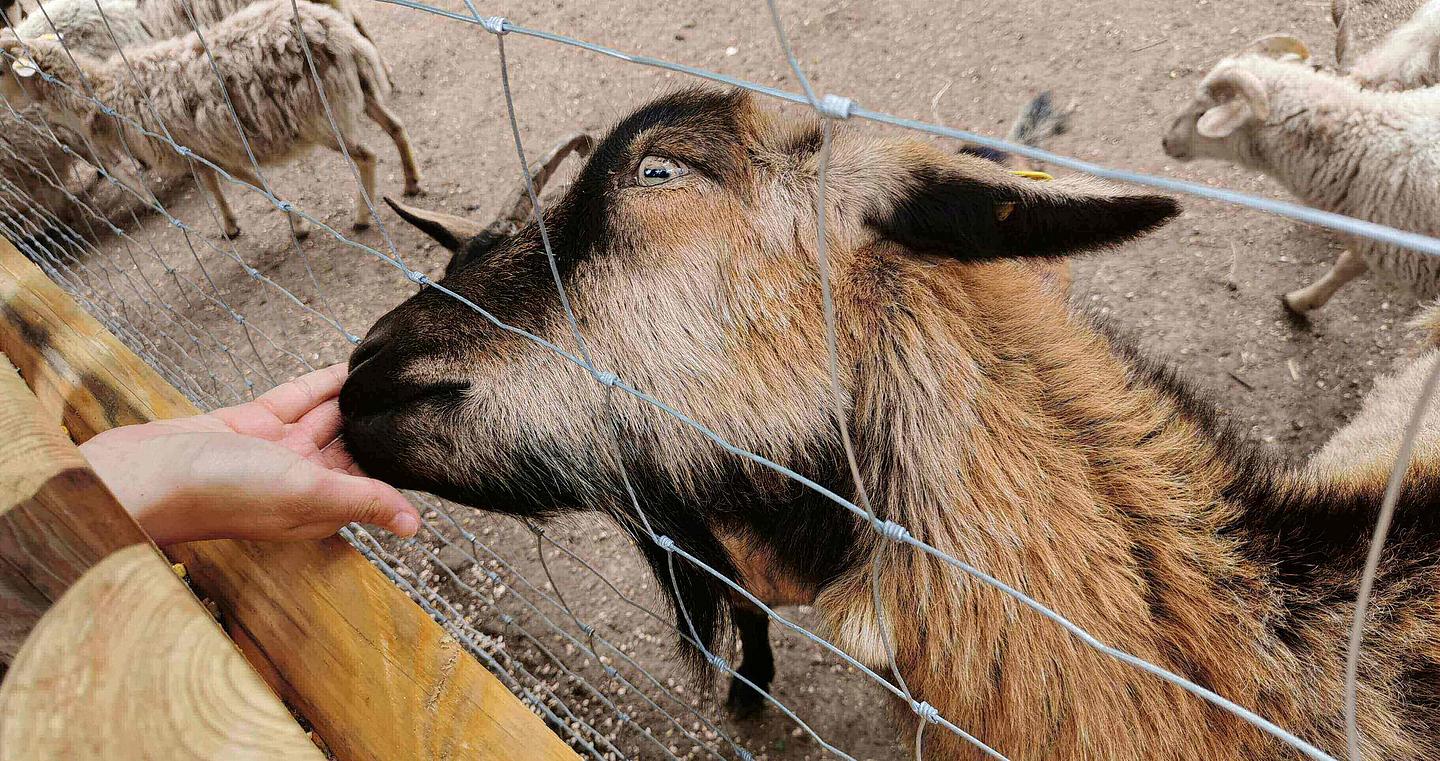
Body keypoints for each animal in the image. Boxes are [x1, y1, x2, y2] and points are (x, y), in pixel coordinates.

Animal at [0, 0, 420, 237]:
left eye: (2, 66)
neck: (109, 94)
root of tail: (336, 33)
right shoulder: (197, 151)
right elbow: (213, 187)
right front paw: (231, 226)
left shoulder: (213, 152)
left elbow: (256, 186)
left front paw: (296, 225)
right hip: (357, 93)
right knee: (397, 127)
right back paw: (412, 183)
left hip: (321, 116)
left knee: (366, 155)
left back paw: (363, 217)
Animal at [1163, 34, 1440, 314]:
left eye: (1202, 113)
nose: (1165, 142)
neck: (1363, 143)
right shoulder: (1385, 239)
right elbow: (1345, 265)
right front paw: (1302, 300)